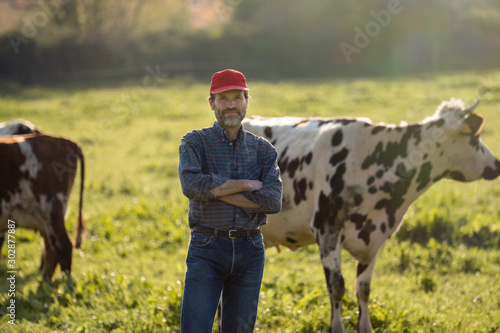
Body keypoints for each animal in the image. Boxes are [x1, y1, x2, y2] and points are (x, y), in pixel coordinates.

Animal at [0, 134, 85, 278]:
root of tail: (63, 140)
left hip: (51, 211)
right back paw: (45, 281)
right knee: (50, 250)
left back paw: (63, 282)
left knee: (63, 247)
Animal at [242, 98, 500, 332]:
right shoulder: (327, 229)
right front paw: (337, 327)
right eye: (475, 139)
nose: (497, 164)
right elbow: (337, 286)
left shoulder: (375, 237)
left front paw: (365, 326)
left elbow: (363, 288)